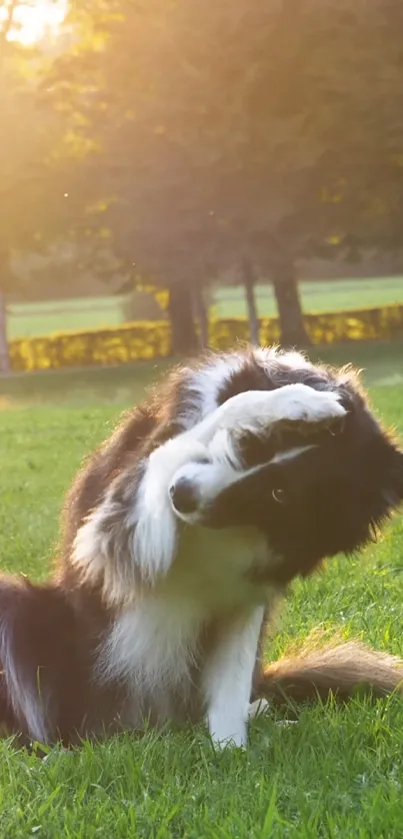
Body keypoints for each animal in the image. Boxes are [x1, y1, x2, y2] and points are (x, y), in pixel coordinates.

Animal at [2, 348, 403, 748]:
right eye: (248, 444)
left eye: (280, 494)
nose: (180, 495)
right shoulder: (114, 529)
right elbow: (218, 416)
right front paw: (298, 401)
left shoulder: (246, 595)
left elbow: (230, 686)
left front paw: (232, 751)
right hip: (27, 615)